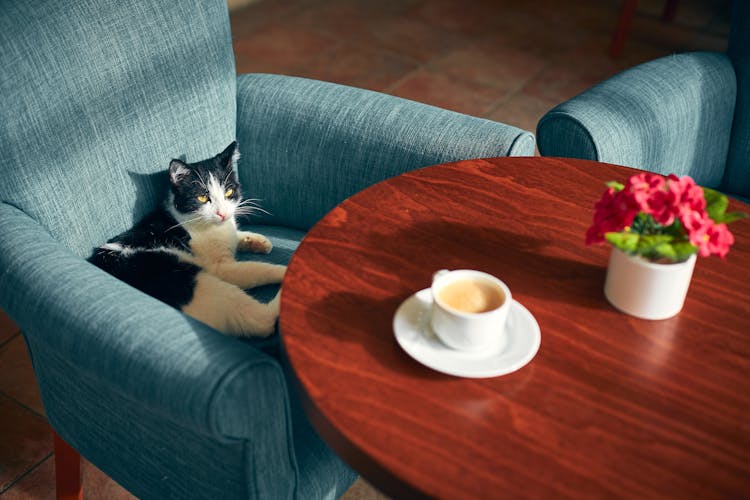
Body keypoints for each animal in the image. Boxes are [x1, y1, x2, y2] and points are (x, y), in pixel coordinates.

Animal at [89, 142, 288, 336]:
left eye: (229, 192)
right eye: (202, 197)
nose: (222, 214)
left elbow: (236, 235)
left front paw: (260, 241)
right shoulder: (221, 268)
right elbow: (257, 269)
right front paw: (283, 270)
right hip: (194, 281)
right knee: (262, 321)